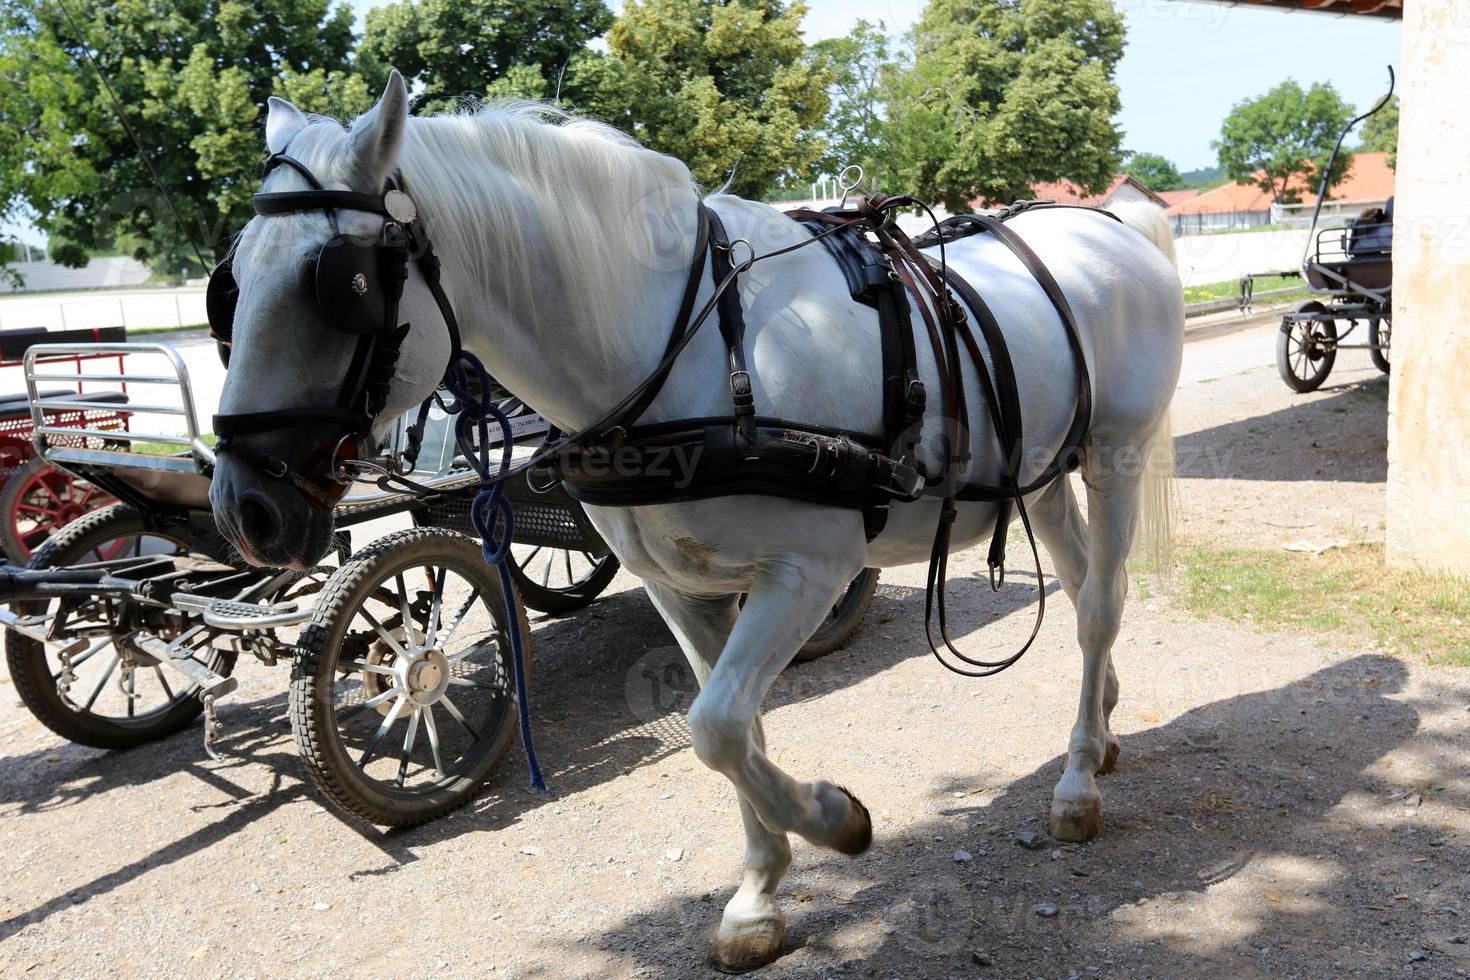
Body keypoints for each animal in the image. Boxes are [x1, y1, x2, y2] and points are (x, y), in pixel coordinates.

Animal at [210, 70, 1181, 975]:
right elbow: (731, 730)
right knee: (1084, 584)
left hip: (1115, 455)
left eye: (341, 284)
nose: (243, 508)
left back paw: (1077, 781)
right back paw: (1103, 726)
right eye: (230, 287)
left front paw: (837, 819)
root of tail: (1113, 224)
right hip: (1042, 473)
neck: (689, 352)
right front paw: (758, 894)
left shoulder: (806, 572)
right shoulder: (682, 590)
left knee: (1101, 605)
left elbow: (715, 727)